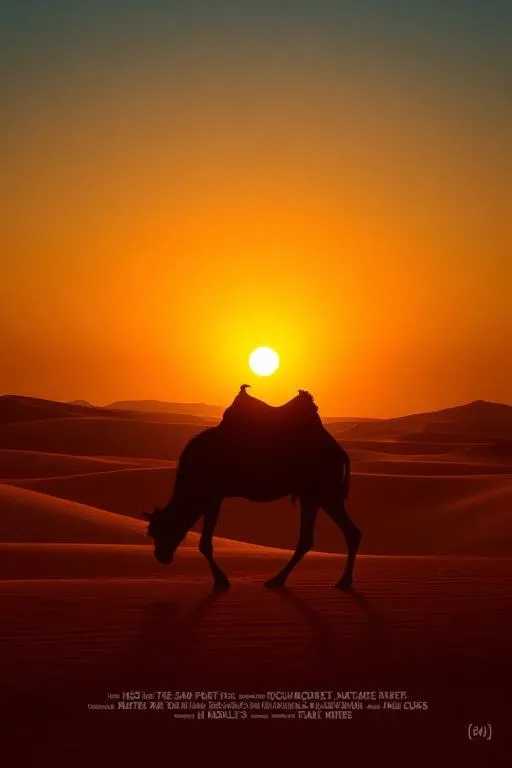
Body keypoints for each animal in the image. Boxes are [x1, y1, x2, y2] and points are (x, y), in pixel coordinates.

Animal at [146, 385, 361, 589]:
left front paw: (221, 580)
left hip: (324, 490)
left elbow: (205, 544)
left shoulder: (213, 495)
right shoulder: (211, 497)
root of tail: (339, 451)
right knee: (316, 537)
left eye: (160, 530)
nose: (161, 556)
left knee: (342, 533)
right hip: (312, 494)